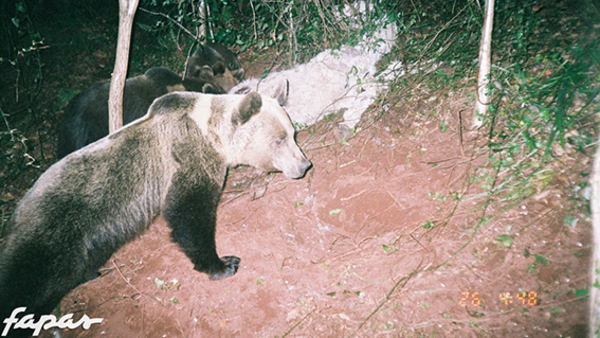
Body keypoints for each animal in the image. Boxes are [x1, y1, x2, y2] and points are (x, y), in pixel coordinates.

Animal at [0, 91, 310, 336]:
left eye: (292, 134)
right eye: (280, 140)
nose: (304, 165)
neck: (212, 134)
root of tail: (17, 209)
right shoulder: (188, 157)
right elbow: (189, 214)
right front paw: (223, 264)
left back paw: (91, 273)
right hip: (54, 225)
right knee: (27, 277)